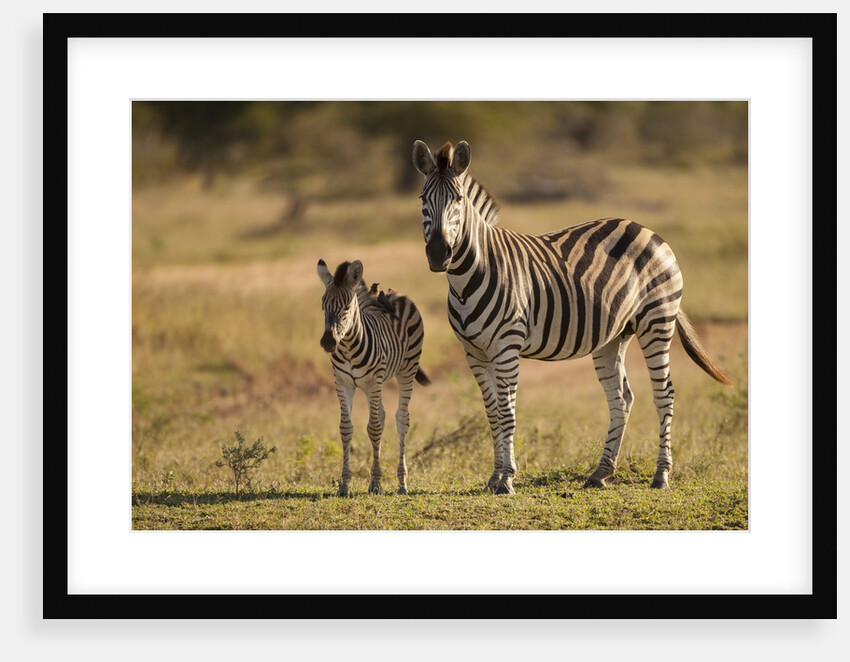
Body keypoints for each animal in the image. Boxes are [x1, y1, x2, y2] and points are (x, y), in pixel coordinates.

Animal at [317, 258, 430, 496]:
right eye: (323, 306)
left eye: (346, 307)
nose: (328, 342)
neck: (348, 348)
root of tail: (394, 293)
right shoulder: (342, 382)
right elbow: (346, 428)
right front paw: (344, 485)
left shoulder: (374, 381)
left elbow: (374, 428)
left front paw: (376, 484)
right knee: (383, 415)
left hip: (406, 370)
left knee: (401, 419)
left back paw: (402, 483)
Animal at [412, 140, 731, 494]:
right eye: (423, 199)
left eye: (458, 199)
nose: (438, 254)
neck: (468, 279)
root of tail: (646, 229)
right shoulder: (474, 352)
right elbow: (492, 413)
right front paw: (494, 477)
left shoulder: (507, 347)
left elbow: (507, 412)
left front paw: (506, 478)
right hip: (613, 336)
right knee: (621, 399)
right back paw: (600, 473)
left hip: (657, 321)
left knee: (664, 395)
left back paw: (661, 475)